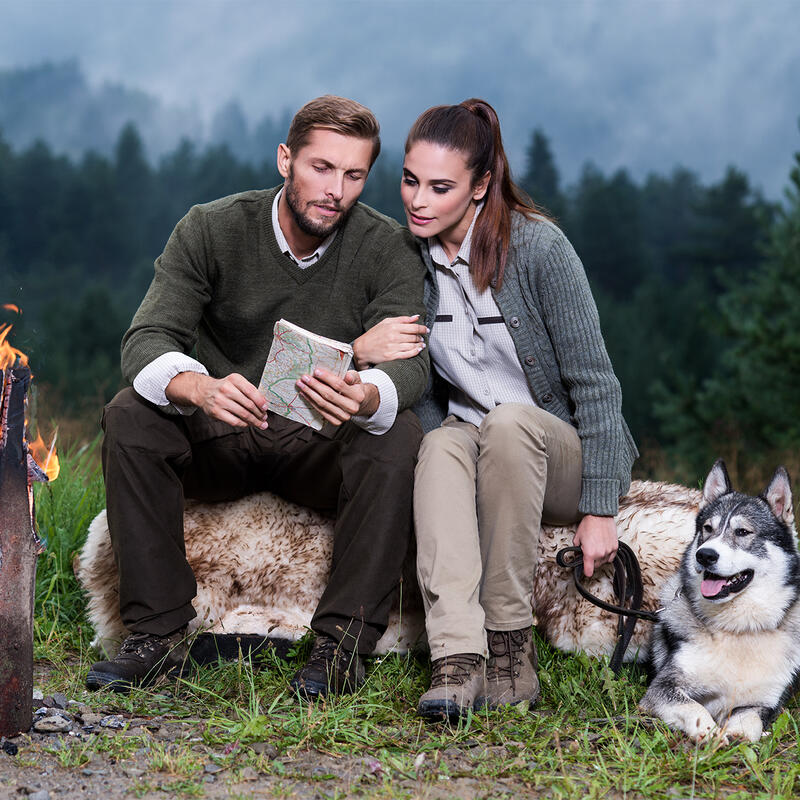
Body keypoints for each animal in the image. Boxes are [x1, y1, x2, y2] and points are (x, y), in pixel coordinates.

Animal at [640, 462, 800, 744]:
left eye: (743, 532)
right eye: (707, 529)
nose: (704, 555)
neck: (738, 628)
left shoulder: (767, 702)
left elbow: (750, 720)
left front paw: (737, 734)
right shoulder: (662, 689)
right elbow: (694, 707)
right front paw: (708, 732)